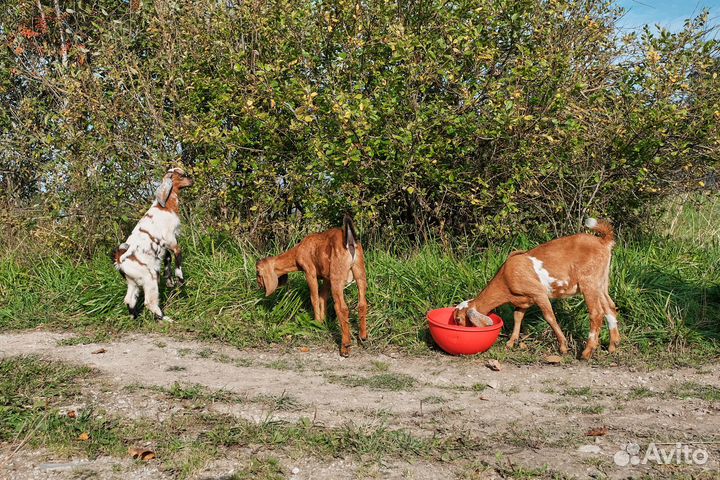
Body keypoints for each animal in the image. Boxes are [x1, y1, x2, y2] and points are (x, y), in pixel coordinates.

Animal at [112, 167, 193, 322]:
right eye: (180, 175)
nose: (191, 180)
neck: (165, 207)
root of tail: (120, 260)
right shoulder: (171, 240)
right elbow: (178, 257)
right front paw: (180, 281)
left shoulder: (164, 247)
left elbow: (168, 259)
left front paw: (170, 281)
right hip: (149, 277)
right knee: (149, 302)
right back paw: (165, 319)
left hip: (132, 281)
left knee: (129, 299)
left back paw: (135, 317)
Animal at [256, 215, 368, 357]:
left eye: (258, 273)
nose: (259, 285)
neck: (298, 250)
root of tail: (349, 241)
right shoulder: (326, 278)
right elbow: (323, 298)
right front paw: (323, 322)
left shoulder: (310, 273)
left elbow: (314, 298)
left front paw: (316, 322)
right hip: (360, 273)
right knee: (362, 303)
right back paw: (363, 336)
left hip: (337, 278)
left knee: (342, 308)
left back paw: (345, 346)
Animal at [454, 218, 620, 360]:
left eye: (458, 319)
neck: (506, 277)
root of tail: (603, 241)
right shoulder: (523, 300)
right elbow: (517, 316)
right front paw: (511, 343)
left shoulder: (538, 293)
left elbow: (549, 317)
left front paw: (563, 346)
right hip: (601, 282)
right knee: (610, 308)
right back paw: (613, 346)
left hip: (588, 281)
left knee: (596, 313)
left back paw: (586, 352)